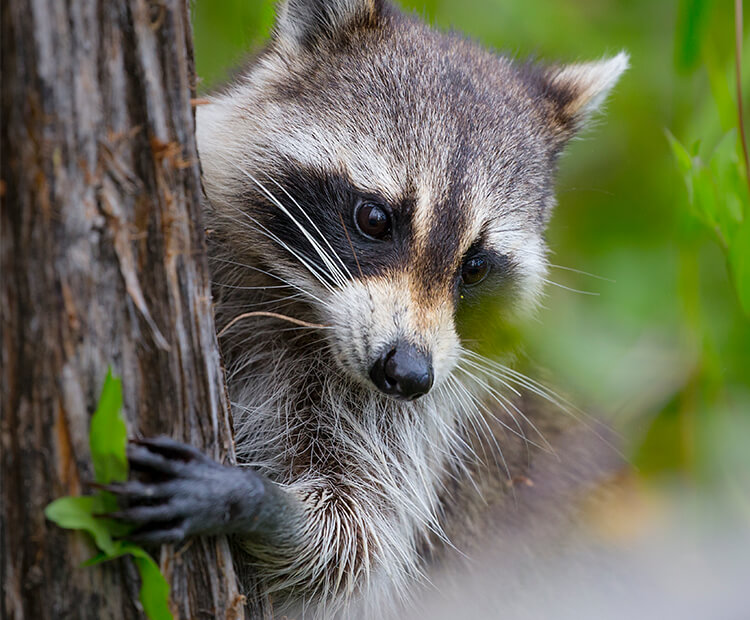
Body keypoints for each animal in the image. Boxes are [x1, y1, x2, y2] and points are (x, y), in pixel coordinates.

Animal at [110, 2, 628, 616]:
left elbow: (354, 545)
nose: (407, 373)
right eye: (375, 218)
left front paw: (259, 504)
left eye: (475, 266)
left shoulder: (424, 421)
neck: (302, 312)